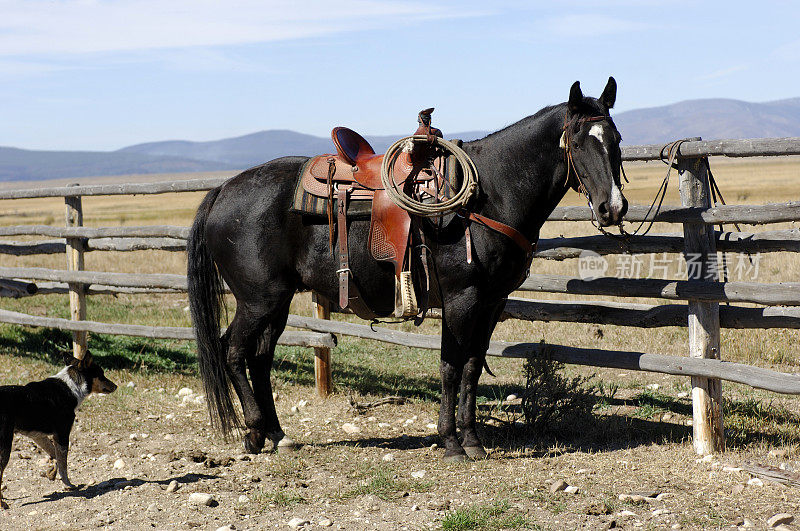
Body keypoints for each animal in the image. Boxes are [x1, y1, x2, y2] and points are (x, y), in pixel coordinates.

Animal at [0, 352, 117, 510]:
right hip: (5, 446)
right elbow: (63, 465)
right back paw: (2, 503)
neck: (71, 386)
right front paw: (68, 485)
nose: (116, 386)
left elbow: (54, 455)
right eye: (102, 374)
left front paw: (51, 473)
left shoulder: (39, 436)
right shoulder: (62, 434)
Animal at [186, 76, 624, 462]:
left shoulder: (492, 303)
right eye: (579, 142)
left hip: (276, 302)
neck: (490, 196)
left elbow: (471, 368)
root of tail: (222, 191)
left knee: (260, 357)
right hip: (257, 300)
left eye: (616, 140)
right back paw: (254, 432)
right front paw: (451, 443)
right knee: (233, 350)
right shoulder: (462, 299)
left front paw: (473, 441)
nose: (613, 208)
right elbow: (451, 366)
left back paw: (279, 436)